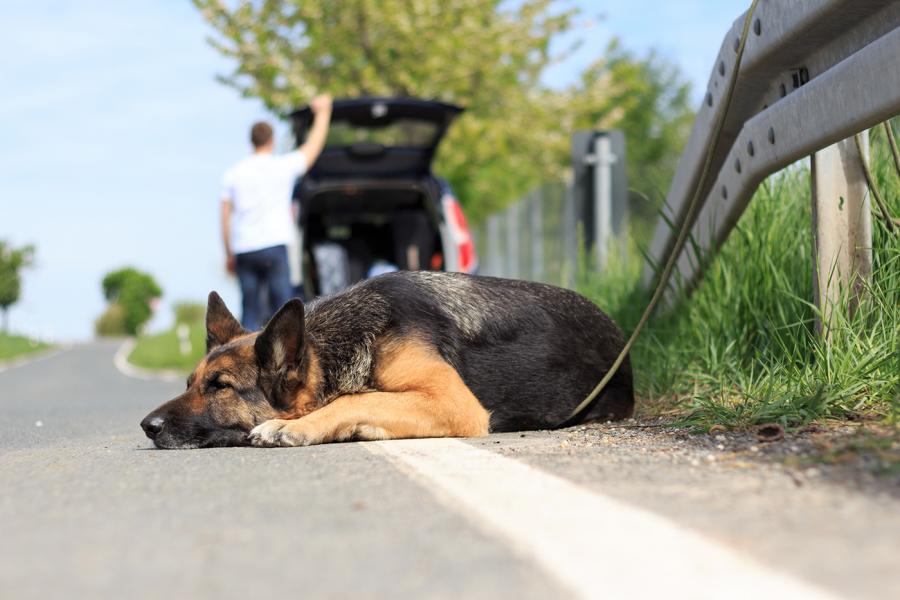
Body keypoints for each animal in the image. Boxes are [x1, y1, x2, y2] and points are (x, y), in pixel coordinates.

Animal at [141, 270, 632, 448]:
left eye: (220, 386)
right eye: (189, 383)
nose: (147, 426)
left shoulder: (455, 402)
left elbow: (355, 398)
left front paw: (293, 426)